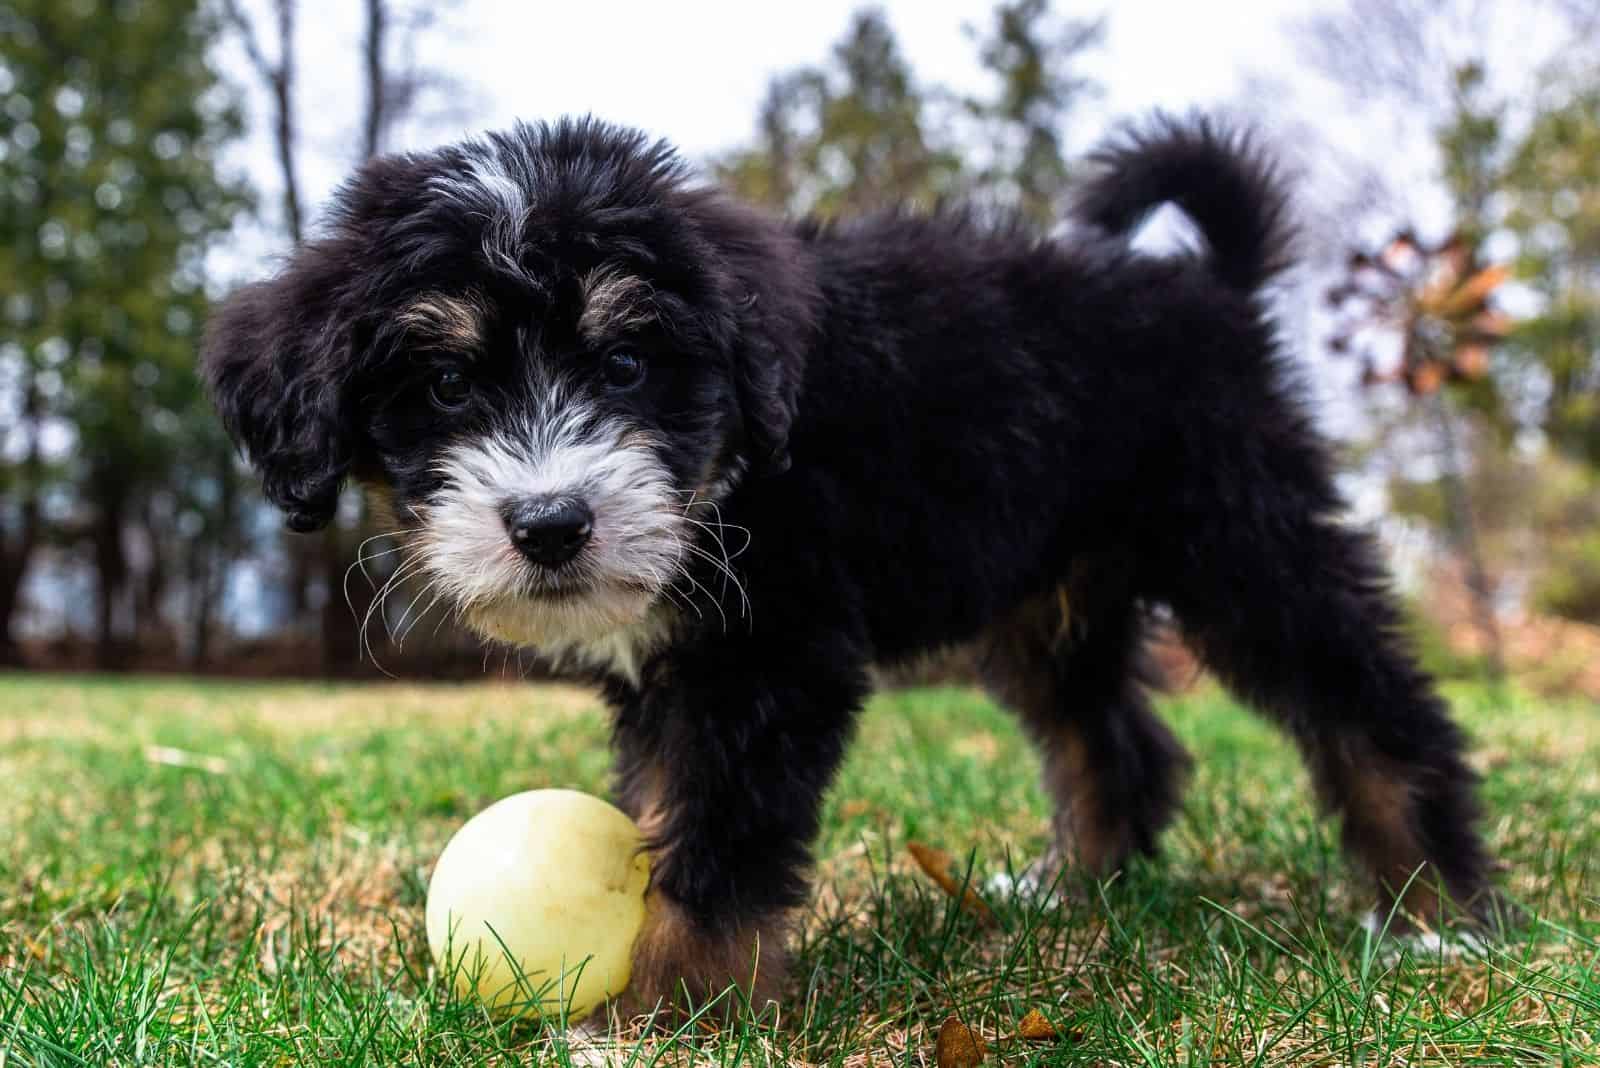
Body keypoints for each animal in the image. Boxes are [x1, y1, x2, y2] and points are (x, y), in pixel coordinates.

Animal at [203, 115, 1497, 1016]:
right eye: (446, 384)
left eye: (625, 365)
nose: (552, 523)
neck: (738, 463)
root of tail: (1205, 287)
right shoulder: (679, 669)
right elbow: (670, 806)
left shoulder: (771, 659)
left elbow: (718, 842)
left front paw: (667, 1010)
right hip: (1050, 596)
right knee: (1112, 741)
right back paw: (1072, 892)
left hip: (1240, 535)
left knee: (1372, 704)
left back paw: (1437, 910)